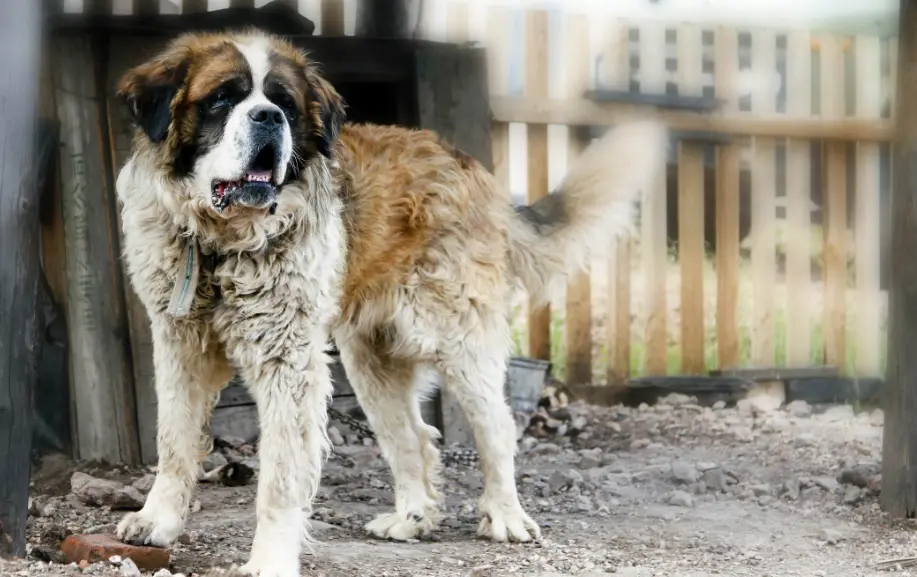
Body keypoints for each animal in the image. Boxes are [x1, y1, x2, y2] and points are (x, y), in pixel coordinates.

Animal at [114, 25, 668, 572]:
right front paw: (157, 520)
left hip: (457, 341)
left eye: (285, 103)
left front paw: (270, 559)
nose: (269, 117)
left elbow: (280, 475)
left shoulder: (288, 362)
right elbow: (173, 439)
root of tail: (467, 165)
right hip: (370, 362)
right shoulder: (178, 344)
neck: (217, 243)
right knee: (414, 438)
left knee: (496, 427)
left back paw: (506, 516)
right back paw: (412, 518)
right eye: (222, 98)